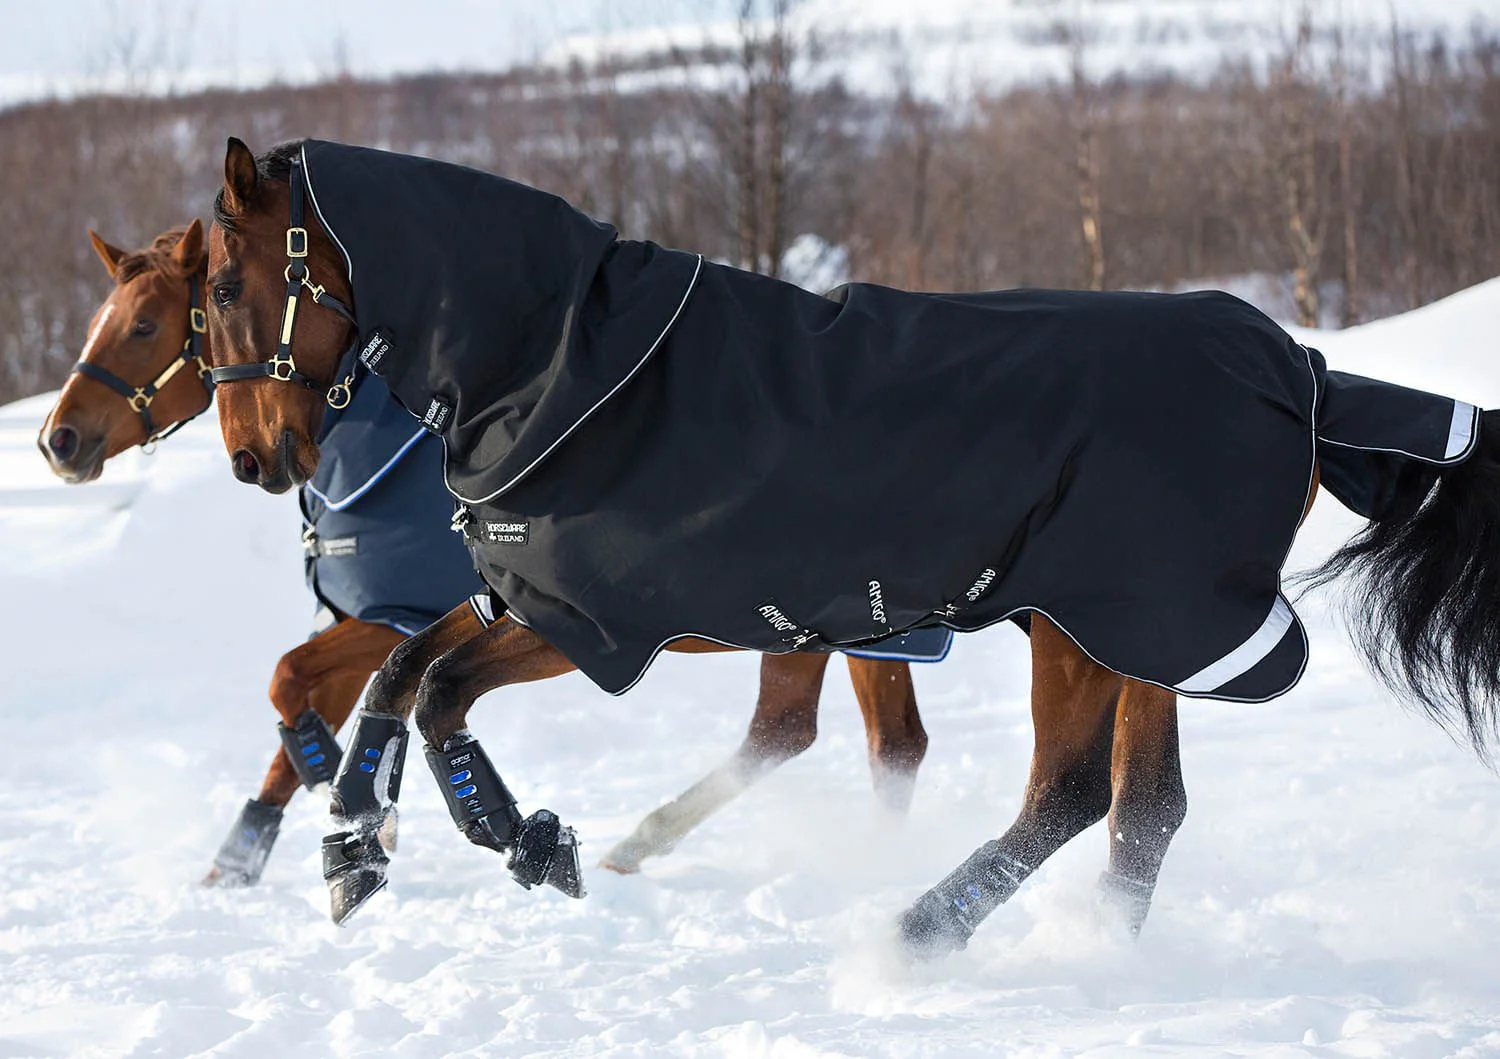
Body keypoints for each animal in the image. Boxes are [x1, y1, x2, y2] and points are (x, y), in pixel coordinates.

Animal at [34, 219, 963, 889]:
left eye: (145, 324)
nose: (57, 439)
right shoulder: (379, 620)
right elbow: (296, 692)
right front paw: (256, 851)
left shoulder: (403, 616)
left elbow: (295, 679)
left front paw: (358, 808)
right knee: (794, 731)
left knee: (875, 743)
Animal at [203, 138, 1220, 943]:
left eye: (219, 286)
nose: (254, 456)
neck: (561, 378)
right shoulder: (515, 595)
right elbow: (403, 674)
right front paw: (360, 838)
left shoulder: (591, 624)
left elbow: (441, 684)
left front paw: (518, 837)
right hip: (1118, 645)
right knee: (1142, 806)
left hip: (1078, 635)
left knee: (1070, 789)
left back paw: (919, 934)